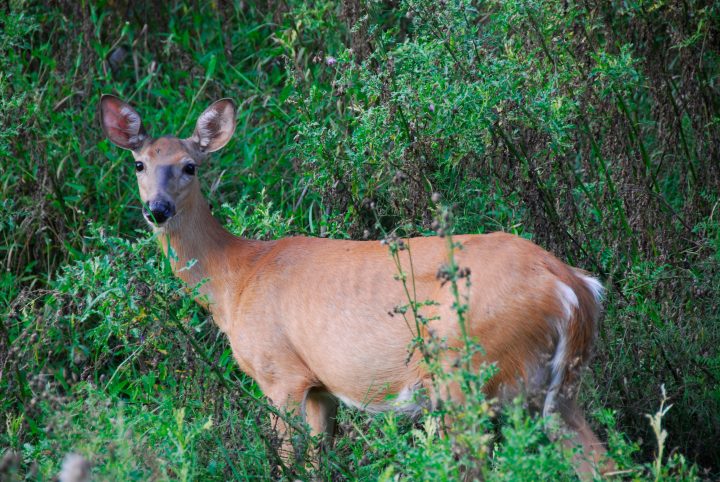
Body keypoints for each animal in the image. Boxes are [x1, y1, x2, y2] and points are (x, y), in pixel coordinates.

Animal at [99, 94, 611, 477]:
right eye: (140, 164)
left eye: (190, 166)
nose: (157, 209)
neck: (236, 278)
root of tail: (573, 286)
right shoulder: (320, 387)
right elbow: (318, 465)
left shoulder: (280, 373)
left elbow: (288, 463)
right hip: (559, 388)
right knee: (601, 462)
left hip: (467, 372)